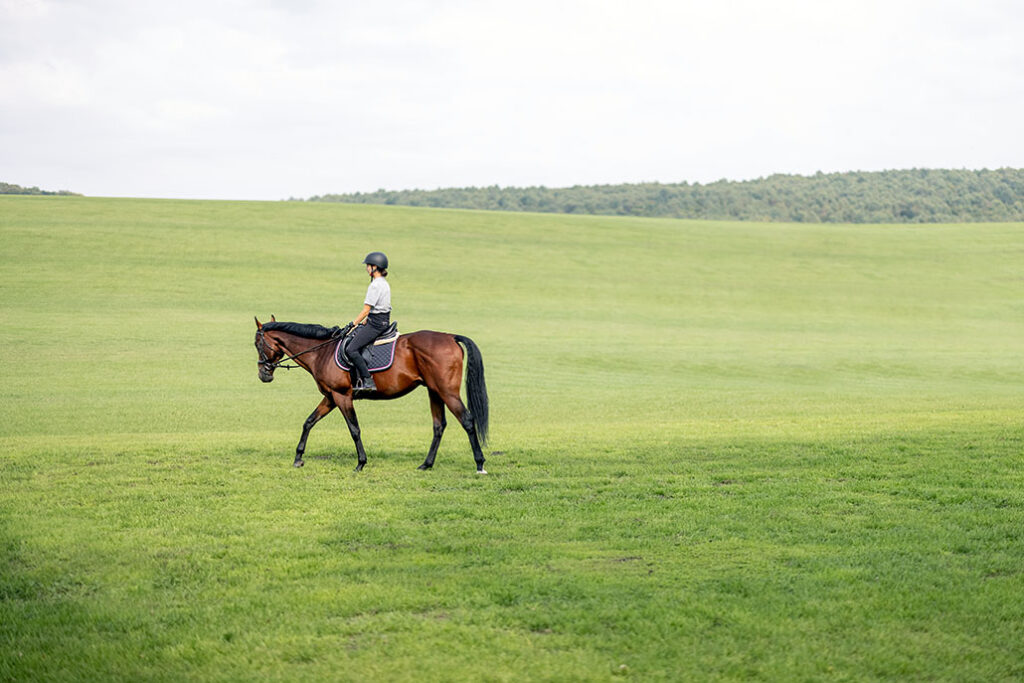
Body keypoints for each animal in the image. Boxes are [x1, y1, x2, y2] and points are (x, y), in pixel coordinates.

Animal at [253, 316, 489, 473]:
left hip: (447, 392)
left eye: (257, 344)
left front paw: (361, 463)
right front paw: (298, 458)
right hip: (434, 391)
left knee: (467, 420)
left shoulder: (342, 396)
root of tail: (450, 337)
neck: (322, 352)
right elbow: (309, 422)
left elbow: (354, 430)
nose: (263, 375)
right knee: (439, 426)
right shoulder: (330, 397)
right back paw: (426, 464)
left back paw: (479, 463)